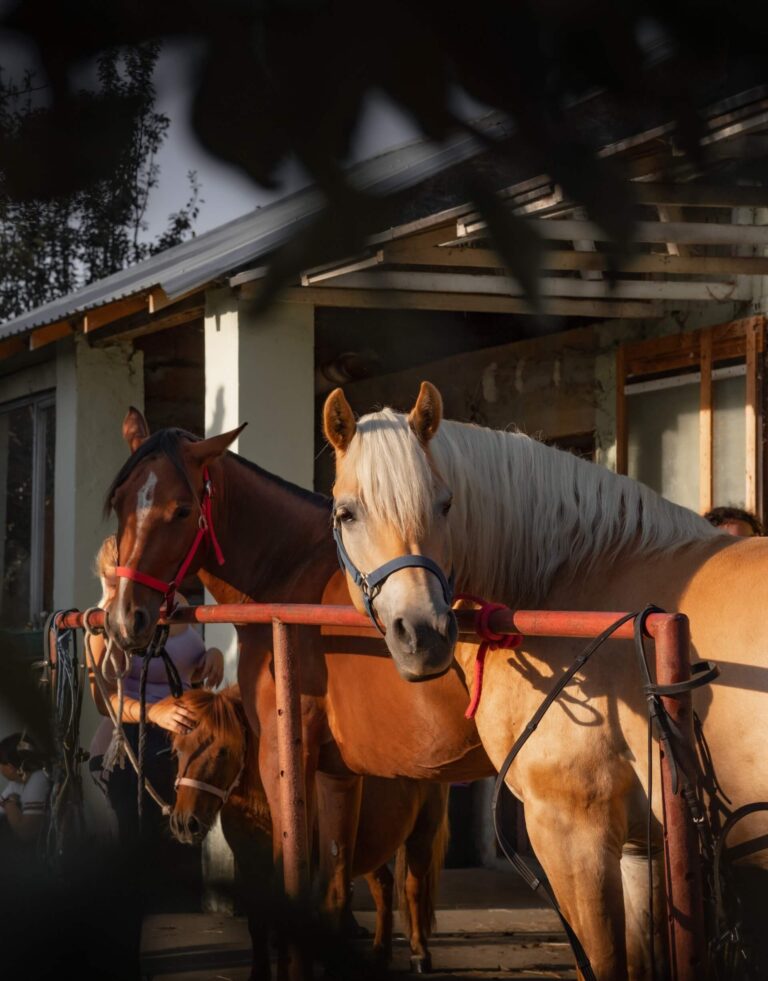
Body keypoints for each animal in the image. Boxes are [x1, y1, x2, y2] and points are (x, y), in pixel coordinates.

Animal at [104, 408, 493, 936]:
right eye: (120, 503)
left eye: (182, 510)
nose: (127, 620)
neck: (292, 572)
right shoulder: (338, 769)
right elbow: (332, 890)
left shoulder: (283, 756)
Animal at [169, 684, 449, 977]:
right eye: (176, 751)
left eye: (223, 750)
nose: (184, 823)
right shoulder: (250, 864)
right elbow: (258, 923)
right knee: (383, 886)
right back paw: (380, 954)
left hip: (422, 836)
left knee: (413, 888)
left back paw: (419, 953)